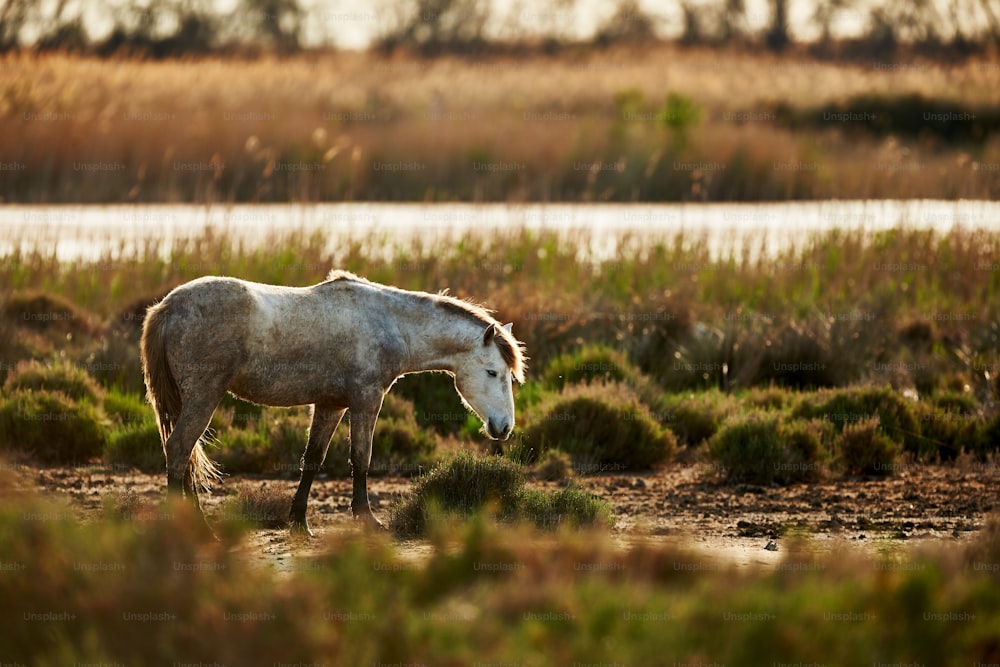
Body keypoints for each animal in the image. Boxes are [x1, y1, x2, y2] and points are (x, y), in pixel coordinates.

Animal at [143, 268, 532, 536]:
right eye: (493, 372)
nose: (503, 428)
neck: (391, 324)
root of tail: (167, 307)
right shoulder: (366, 400)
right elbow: (361, 458)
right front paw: (367, 518)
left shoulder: (331, 405)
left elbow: (313, 460)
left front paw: (299, 522)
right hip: (203, 395)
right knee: (179, 450)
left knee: (184, 455)